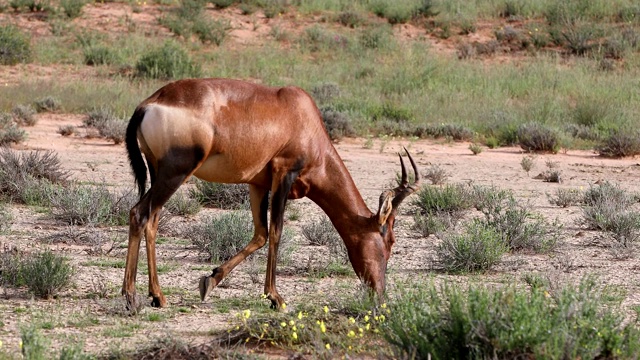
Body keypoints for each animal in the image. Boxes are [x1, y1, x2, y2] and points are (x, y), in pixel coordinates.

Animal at [121, 79, 420, 310]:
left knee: (152, 220)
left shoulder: (258, 184)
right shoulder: (283, 174)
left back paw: (157, 296)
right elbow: (276, 232)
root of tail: (148, 104)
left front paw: (210, 281)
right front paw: (276, 298)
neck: (300, 113)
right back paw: (131, 296)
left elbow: (261, 234)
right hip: (176, 172)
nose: (379, 294)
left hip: (160, 172)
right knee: (139, 213)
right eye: (390, 240)